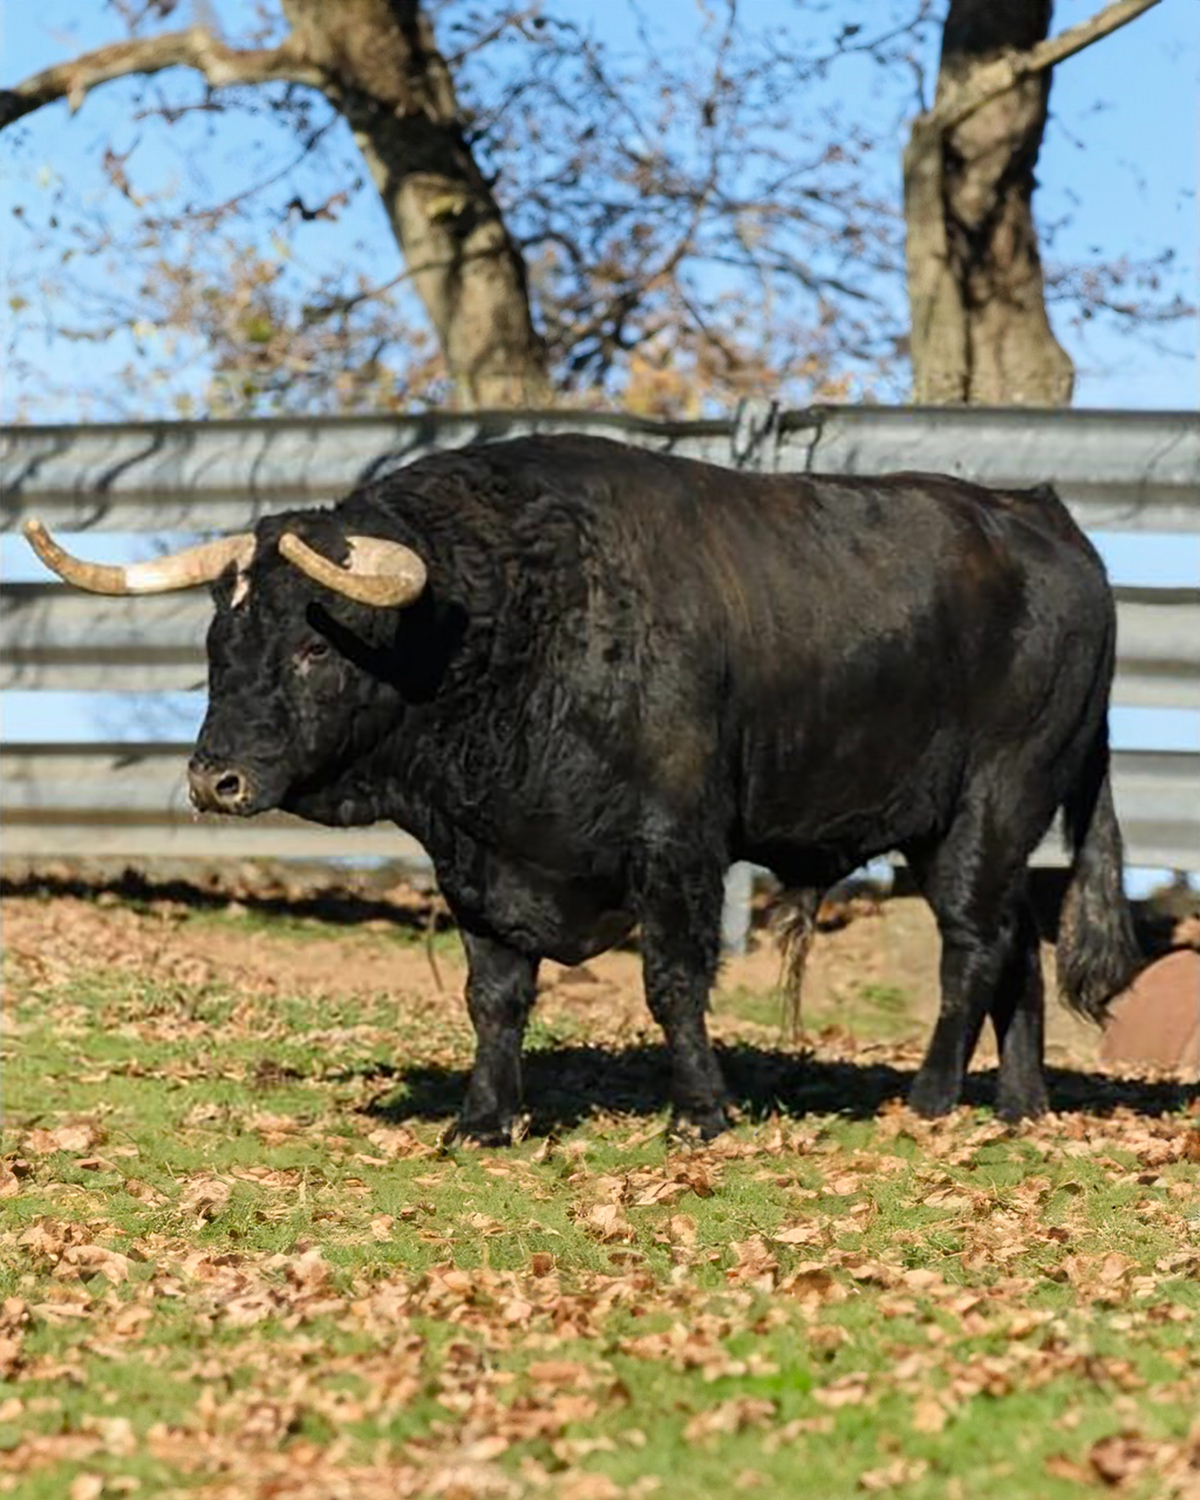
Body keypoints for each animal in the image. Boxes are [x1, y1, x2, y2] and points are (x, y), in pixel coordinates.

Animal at [42, 435, 1146, 1134]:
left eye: (315, 649)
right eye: (219, 641)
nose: (213, 778)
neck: (517, 618)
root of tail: (1046, 521)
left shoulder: (678, 848)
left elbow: (672, 984)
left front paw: (701, 1113)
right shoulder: (477, 860)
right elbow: (494, 994)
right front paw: (485, 1120)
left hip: (993, 801)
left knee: (973, 948)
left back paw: (927, 1101)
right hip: (968, 823)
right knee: (1017, 946)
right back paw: (1020, 1106)